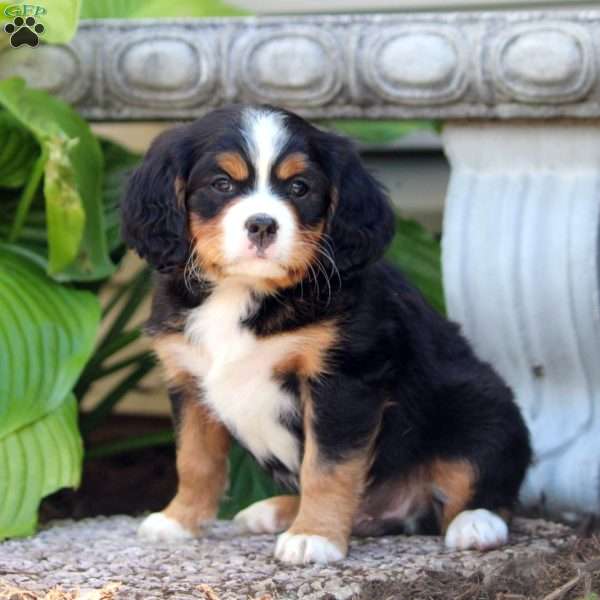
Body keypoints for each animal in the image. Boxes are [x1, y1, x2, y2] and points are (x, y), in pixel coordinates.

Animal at [120, 105, 528, 564]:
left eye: (300, 188)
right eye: (221, 184)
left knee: (484, 480)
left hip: (484, 406)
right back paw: (273, 511)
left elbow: (327, 467)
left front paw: (314, 535)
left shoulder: (342, 381)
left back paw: (476, 523)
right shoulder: (188, 381)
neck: (243, 291)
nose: (262, 225)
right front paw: (179, 520)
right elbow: (194, 459)